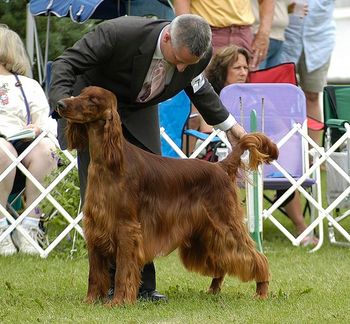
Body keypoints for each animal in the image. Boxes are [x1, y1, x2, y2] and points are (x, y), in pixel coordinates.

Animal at [57, 86, 278, 306]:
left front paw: (118, 301)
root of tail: (221, 166)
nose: (60, 104)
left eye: (92, 100)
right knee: (222, 260)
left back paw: (262, 290)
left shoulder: (126, 227)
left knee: (256, 257)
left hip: (226, 223)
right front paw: (90, 301)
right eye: (79, 93)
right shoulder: (95, 224)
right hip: (207, 231)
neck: (107, 162)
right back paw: (213, 289)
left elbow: (122, 270)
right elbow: (94, 273)